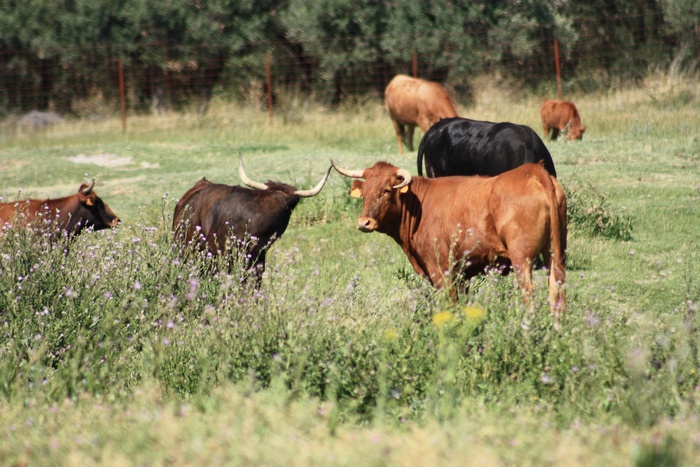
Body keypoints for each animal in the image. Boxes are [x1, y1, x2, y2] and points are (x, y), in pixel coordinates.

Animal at [330, 159, 568, 316]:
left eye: (386, 190)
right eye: (365, 191)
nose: (364, 223)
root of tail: (533, 171)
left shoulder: (441, 271)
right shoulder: (462, 274)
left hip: (522, 259)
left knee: (530, 295)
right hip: (556, 254)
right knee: (557, 291)